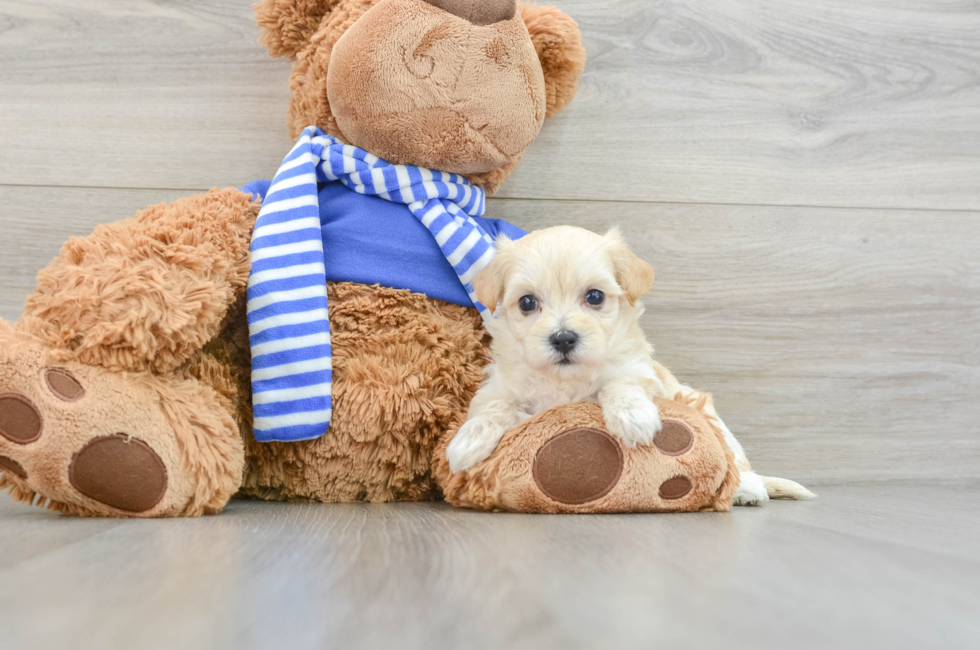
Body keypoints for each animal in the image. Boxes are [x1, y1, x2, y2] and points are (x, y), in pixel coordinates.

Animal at [444, 225, 812, 504]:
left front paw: (633, 418)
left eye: (594, 296)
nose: (563, 339)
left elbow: (620, 383)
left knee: (737, 461)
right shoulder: (499, 387)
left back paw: (747, 489)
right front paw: (467, 442)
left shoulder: (638, 371)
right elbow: (495, 407)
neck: (566, 378)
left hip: (714, 421)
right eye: (527, 303)